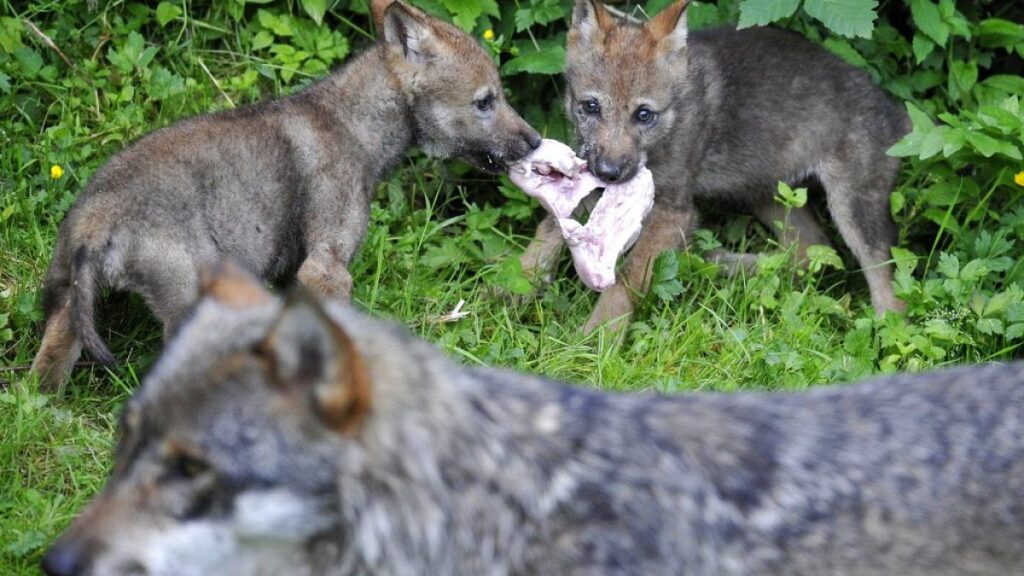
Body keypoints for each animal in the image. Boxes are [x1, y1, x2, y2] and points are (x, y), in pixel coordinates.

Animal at [32, 0, 544, 389]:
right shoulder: (327, 265)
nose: (536, 140)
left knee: (46, 372)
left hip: (67, 305)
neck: (354, 124)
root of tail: (97, 222)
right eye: (485, 101)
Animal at [520, 0, 905, 332]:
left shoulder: (674, 212)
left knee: (889, 290)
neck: (672, 121)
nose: (609, 173)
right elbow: (548, 230)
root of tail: (898, 113)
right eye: (591, 107)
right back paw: (720, 263)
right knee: (807, 251)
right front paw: (513, 289)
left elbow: (625, 281)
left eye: (644, 115)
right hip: (765, 194)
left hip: (852, 210)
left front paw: (597, 340)